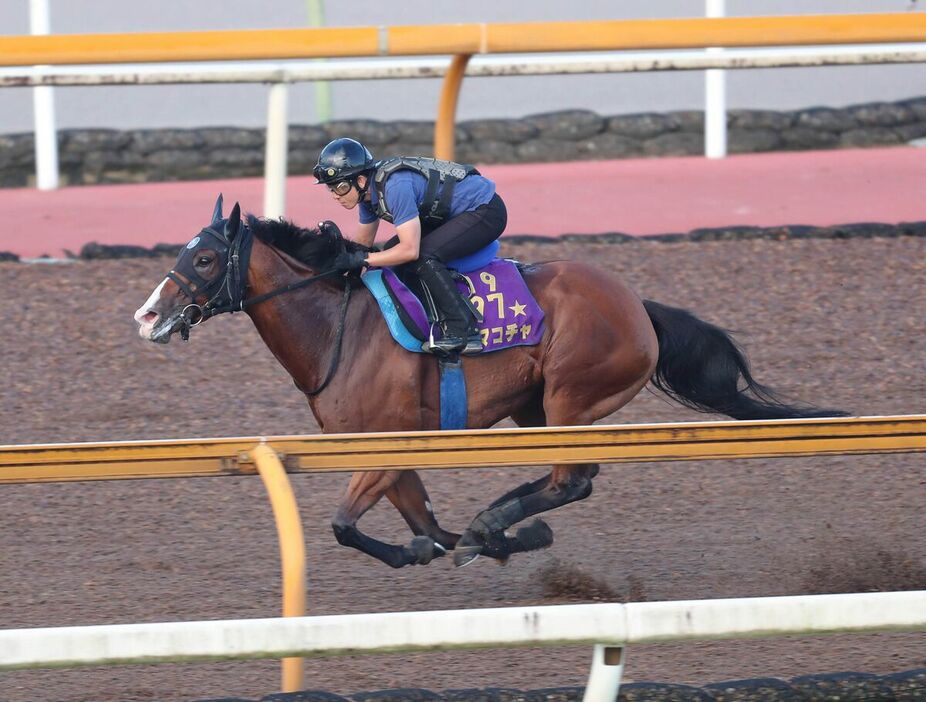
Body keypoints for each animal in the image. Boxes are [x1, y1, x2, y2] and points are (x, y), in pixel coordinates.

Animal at [132, 195, 848, 568]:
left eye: (204, 258)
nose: (147, 316)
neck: (339, 327)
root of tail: (638, 306)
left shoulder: (384, 445)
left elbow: (343, 525)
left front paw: (453, 545)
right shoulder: (389, 452)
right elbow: (422, 521)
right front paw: (474, 542)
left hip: (569, 394)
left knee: (569, 481)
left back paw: (499, 518)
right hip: (537, 409)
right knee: (578, 480)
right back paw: (501, 522)